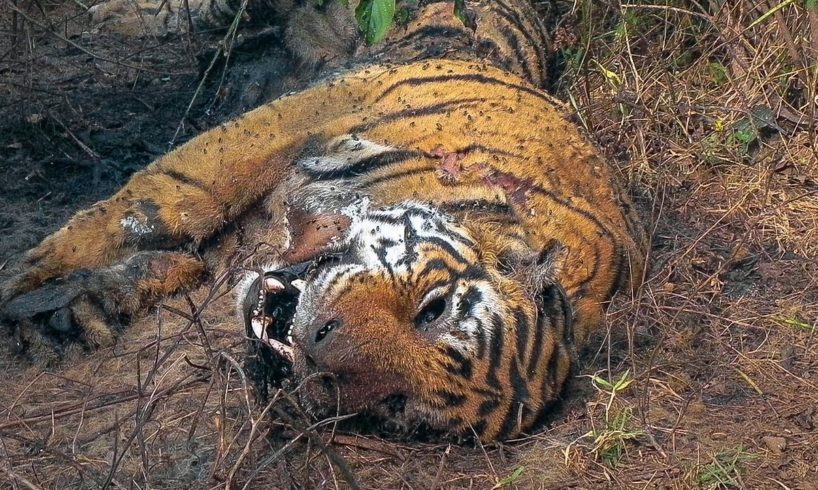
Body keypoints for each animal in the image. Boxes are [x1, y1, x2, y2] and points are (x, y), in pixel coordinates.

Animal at [0, 0, 648, 441]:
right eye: (433, 310)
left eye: (398, 407)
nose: (313, 355)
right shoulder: (292, 121)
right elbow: (165, 199)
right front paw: (27, 273)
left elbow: (176, 262)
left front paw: (67, 318)